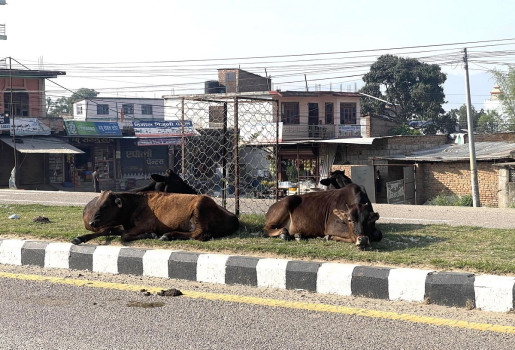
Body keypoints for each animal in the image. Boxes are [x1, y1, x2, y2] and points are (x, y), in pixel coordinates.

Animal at [72, 190, 240, 245]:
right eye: (97, 204)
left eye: (106, 205)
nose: (92, 222)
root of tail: (233, 216)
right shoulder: (118, 226)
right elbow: (106, 231)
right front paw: (79, 238)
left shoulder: (146, 225)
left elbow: (124, 235)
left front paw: (151, 235)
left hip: (201, 205)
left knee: (198, 234)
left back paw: (167, 235)